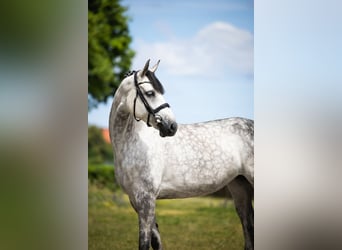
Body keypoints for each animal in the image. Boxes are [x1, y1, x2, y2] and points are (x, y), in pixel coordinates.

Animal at [109, 59, 254, 249]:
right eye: (150, 93)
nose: (172, 126)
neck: (131, 143)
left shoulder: (146, 199)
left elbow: (145, 242)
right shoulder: (137, 200)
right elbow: (155, 241)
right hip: (239, 185)